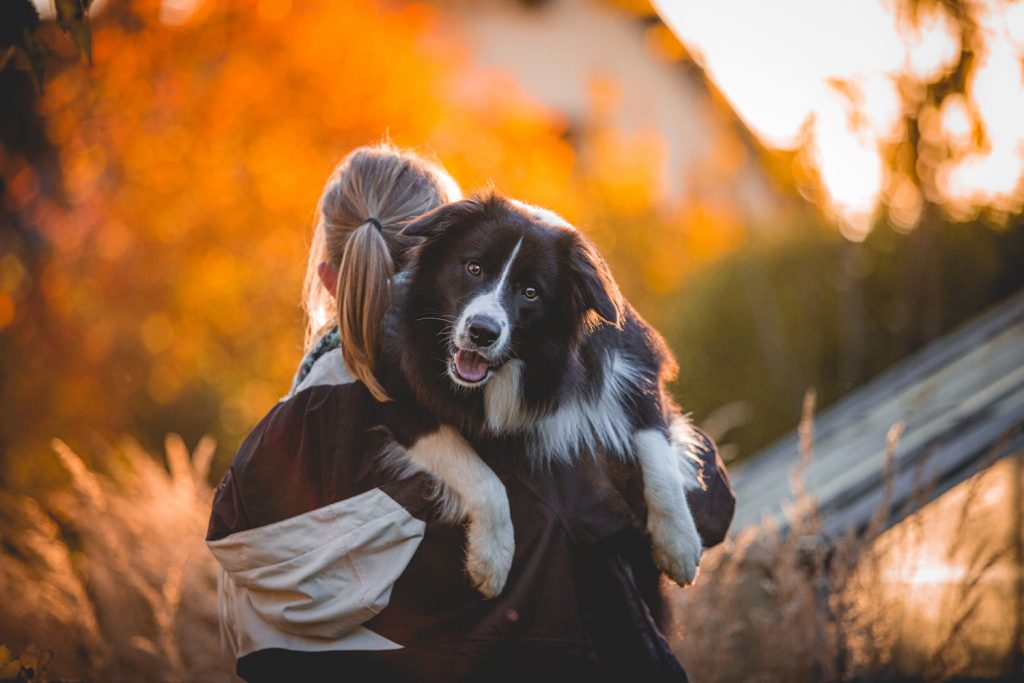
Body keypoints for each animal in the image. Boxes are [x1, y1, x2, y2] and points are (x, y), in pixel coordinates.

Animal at [376, 193, 704, 598]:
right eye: (473, 268)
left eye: (530, 292)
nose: (482, 332)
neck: (517, 365)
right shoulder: (398, 396)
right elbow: (484, 478)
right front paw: (492, 560)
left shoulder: (633, 367)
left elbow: (656, 449)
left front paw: (680, 545)